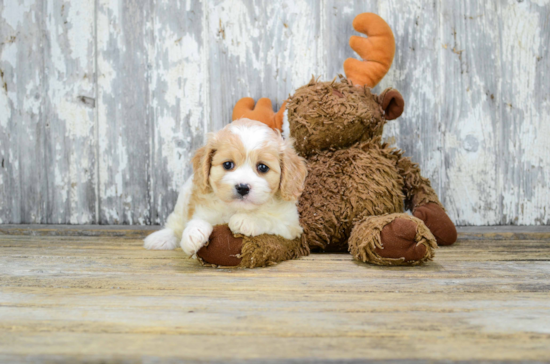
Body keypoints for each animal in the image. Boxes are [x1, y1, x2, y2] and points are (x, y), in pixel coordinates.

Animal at [144, 118, 308, 258]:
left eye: (262, 167)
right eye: (228, 164)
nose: (243, 187)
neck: (236, 208)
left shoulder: (291, 226)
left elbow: (269, 219)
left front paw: (246, 220)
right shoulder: (201, 208)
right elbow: (198, 220)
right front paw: (193, 234)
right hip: (184, 196)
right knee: (175, 223)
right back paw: (161, 238)